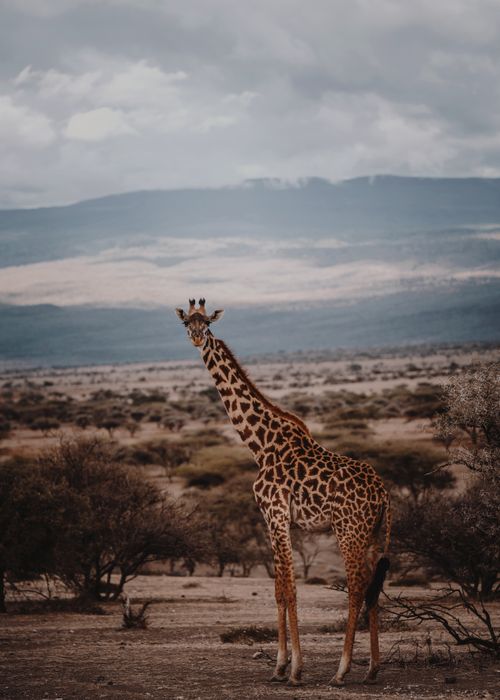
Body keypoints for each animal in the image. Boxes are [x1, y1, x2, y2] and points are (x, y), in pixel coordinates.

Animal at [175, 299, 391, 687]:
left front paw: (293, 669)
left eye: (207, 324)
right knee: (371, 588)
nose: (198, 338)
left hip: (348, 531)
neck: (260, 445)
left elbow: (289, 590)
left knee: (355, 588)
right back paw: (372, 669)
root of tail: (383, 493)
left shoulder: (275, 515)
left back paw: (341, 671)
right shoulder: (273, 520)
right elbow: (278, 591)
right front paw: (279, 666)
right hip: (370, 533)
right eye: (187, 323)